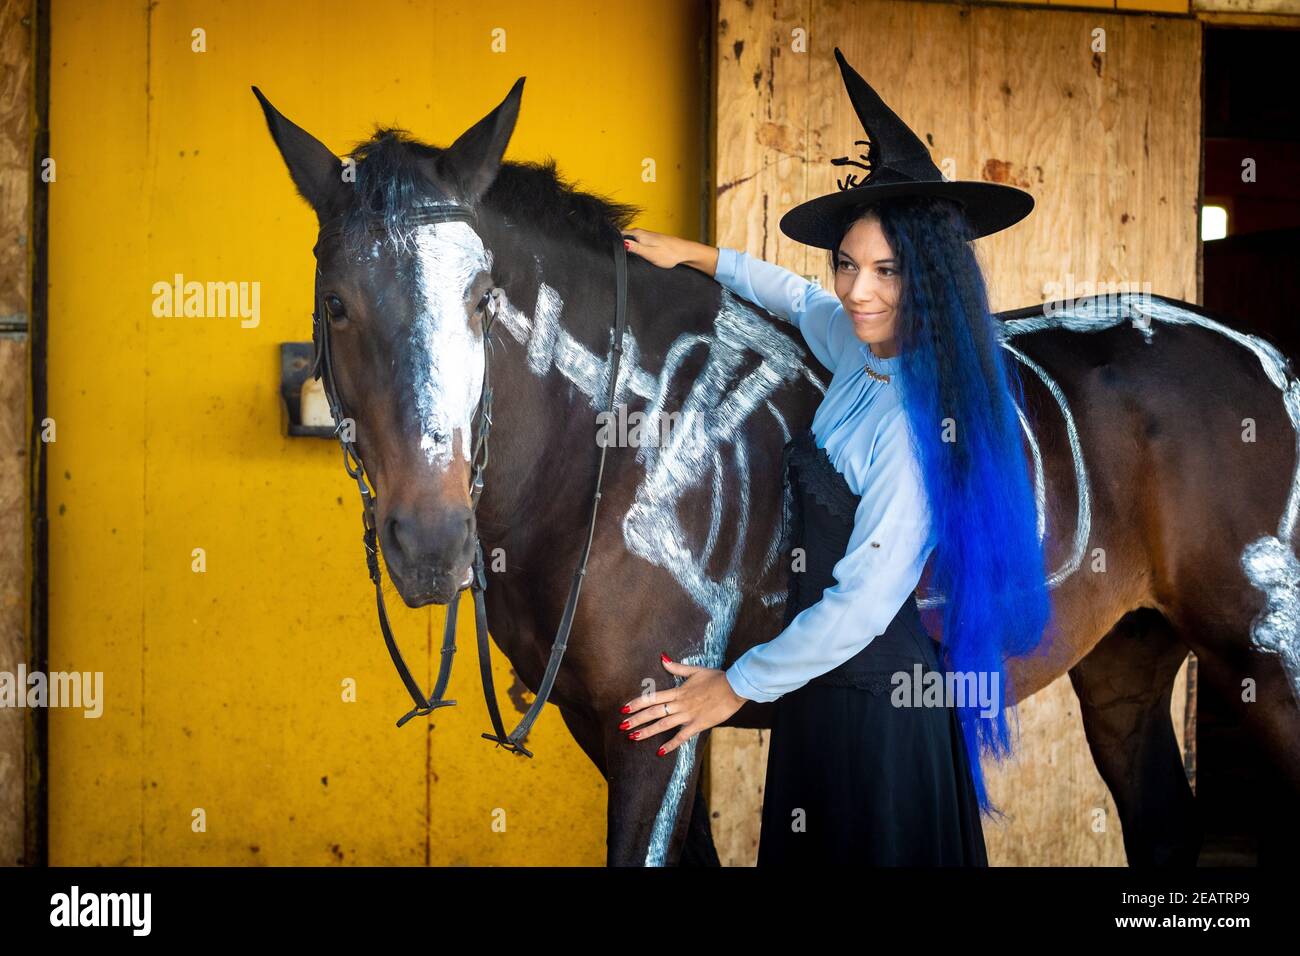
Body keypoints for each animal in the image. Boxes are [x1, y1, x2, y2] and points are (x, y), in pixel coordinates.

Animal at [253, 76, 1300, 868]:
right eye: (337, 303)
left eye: (479, 296)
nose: (432, 543)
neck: (614, 448)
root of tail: (1264, 360)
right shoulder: (610, 726)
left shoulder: (655, 729)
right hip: (1126, 664)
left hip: (1270, 661)